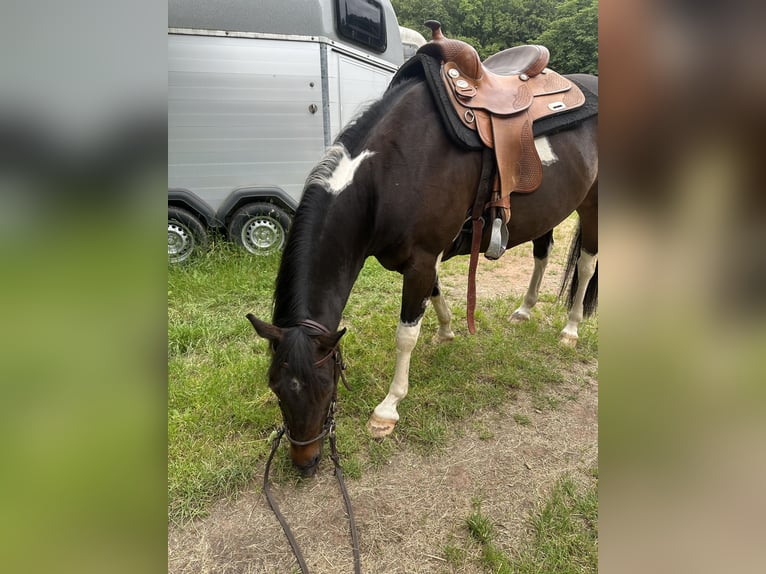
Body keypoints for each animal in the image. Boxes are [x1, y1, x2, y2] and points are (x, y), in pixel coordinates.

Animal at [247, 67, 598, 475]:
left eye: (326, 384)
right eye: (274, 385)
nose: (305, 462)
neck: (389, 173)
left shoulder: (421, 259)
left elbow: (406, 334)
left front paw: (387, 410)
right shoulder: (423, 259)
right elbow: (435, 293)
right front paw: (446, 332)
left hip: (592, 206)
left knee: (586, 264)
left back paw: (570, 329)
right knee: (543, 254)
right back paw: (525, 309)